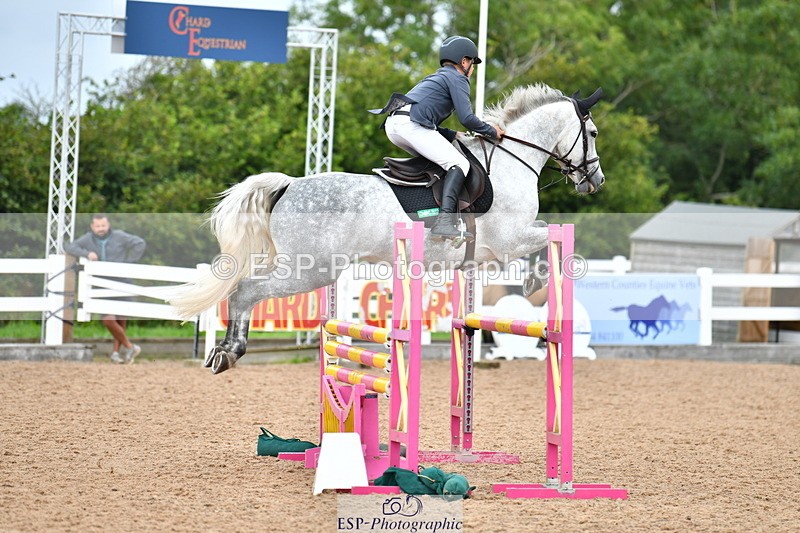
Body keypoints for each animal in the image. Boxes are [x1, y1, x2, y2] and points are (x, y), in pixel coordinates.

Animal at [171, 83, 607, 374]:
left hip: (302, 265)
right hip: (312, 269)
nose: (595, 181)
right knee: (246, 290)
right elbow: (549, 235)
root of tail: (289, 185)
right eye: (593, 133)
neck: (511, 160)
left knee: (245, 289)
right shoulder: (510, 240)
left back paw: (222, 352)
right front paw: (536, 280)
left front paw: (533, 280)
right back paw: (230, 351)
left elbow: (546, 234)